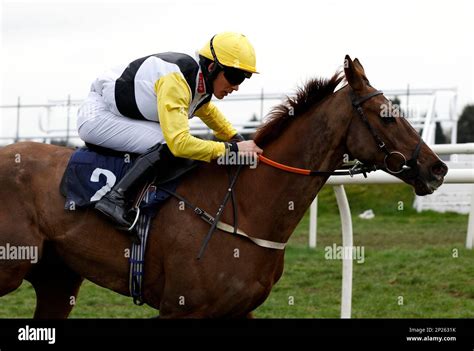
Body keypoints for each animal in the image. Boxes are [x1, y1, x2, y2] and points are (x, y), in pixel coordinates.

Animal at [0, 57, 446, 320]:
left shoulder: (239, 311)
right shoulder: (179, 311)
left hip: (58, 278)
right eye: (387, 116)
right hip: (12, 267)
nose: (437, 168)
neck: (246, 207)